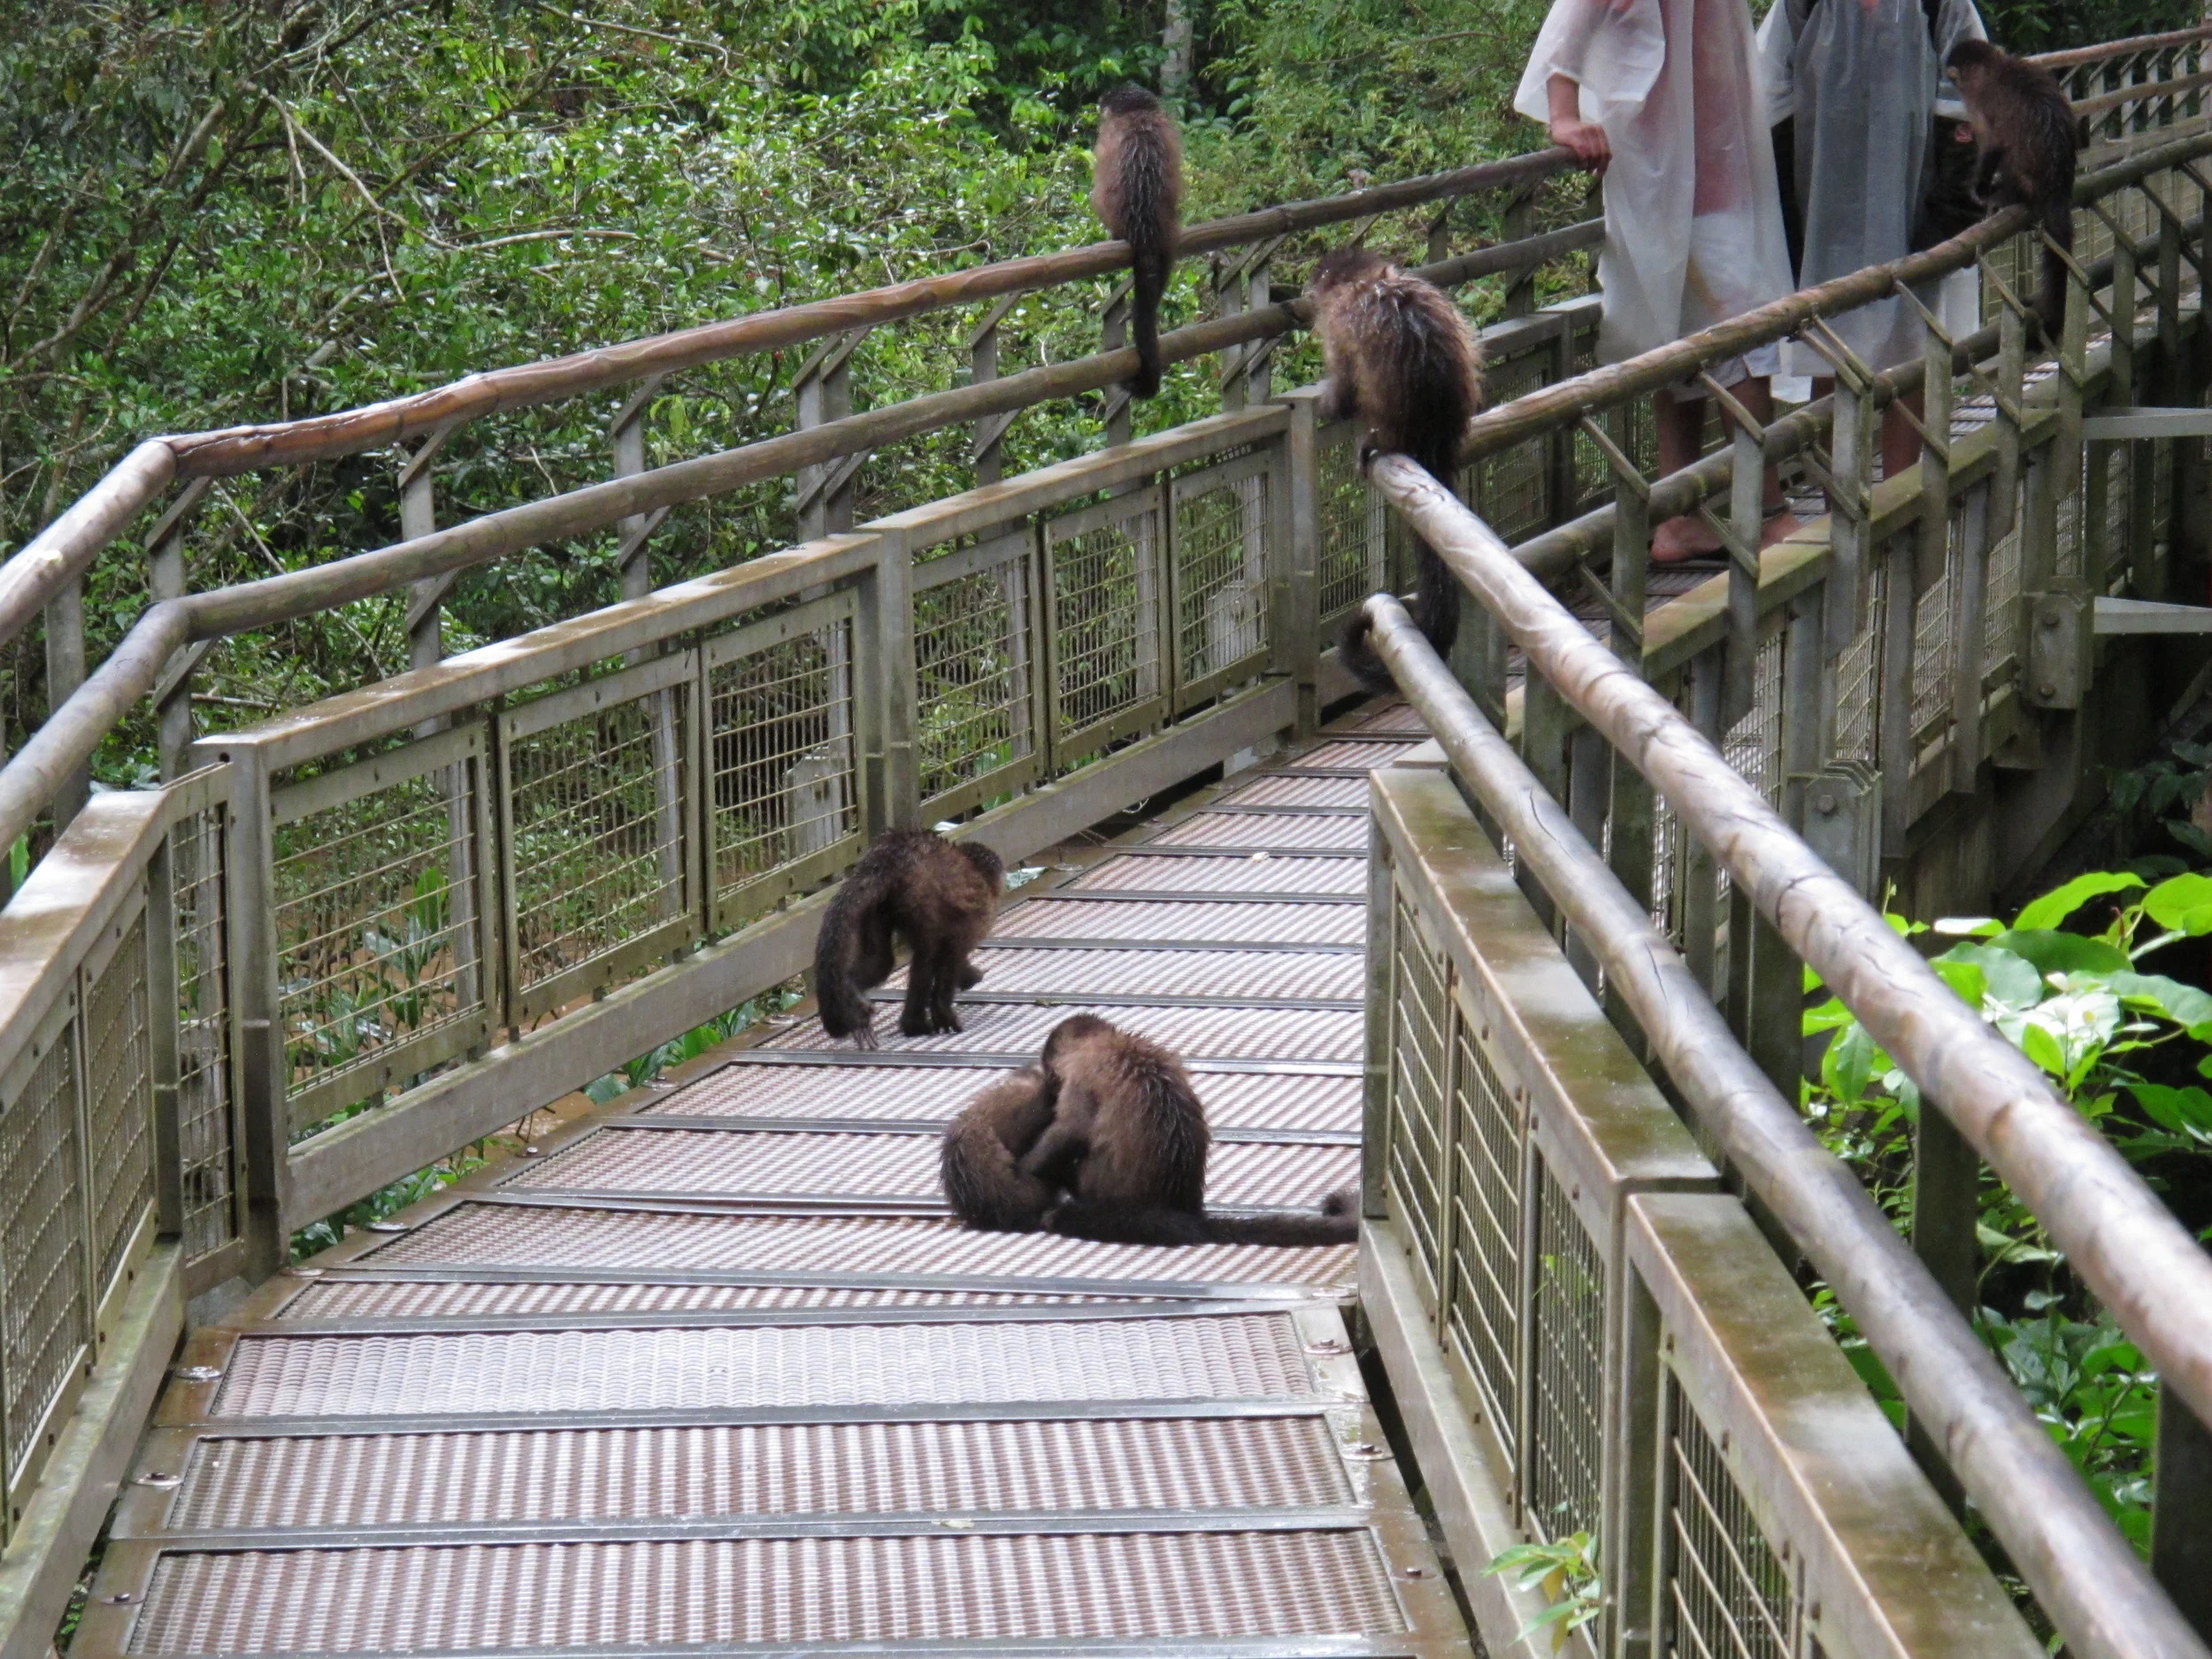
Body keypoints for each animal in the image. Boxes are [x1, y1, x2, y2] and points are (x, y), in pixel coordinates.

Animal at [812, 829, 1003, 1049]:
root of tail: (888, 856)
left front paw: (969, 976)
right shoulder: (981, 910)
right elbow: (953, 952)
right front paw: (944, 1011)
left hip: (881, 904)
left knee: (881, 962)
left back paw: (853, 989)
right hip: (918, 889)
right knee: (927, 952)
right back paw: (915, 1025)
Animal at [1018, 1015, 1359, 1247]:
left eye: (1053, 1077)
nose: (1051, 1084)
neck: (1106, 1045)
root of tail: (1185, 1209)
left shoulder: (1081, 1079)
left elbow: (1070, 1131)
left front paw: (1028, 1165)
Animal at [1946, 39, 2078, 342]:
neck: (1997, 68)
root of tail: (2056, 185)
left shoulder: (1982, 100)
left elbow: (1993, 143)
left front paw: (1981, 187)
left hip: (2026, 181)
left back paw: (2004, 196)